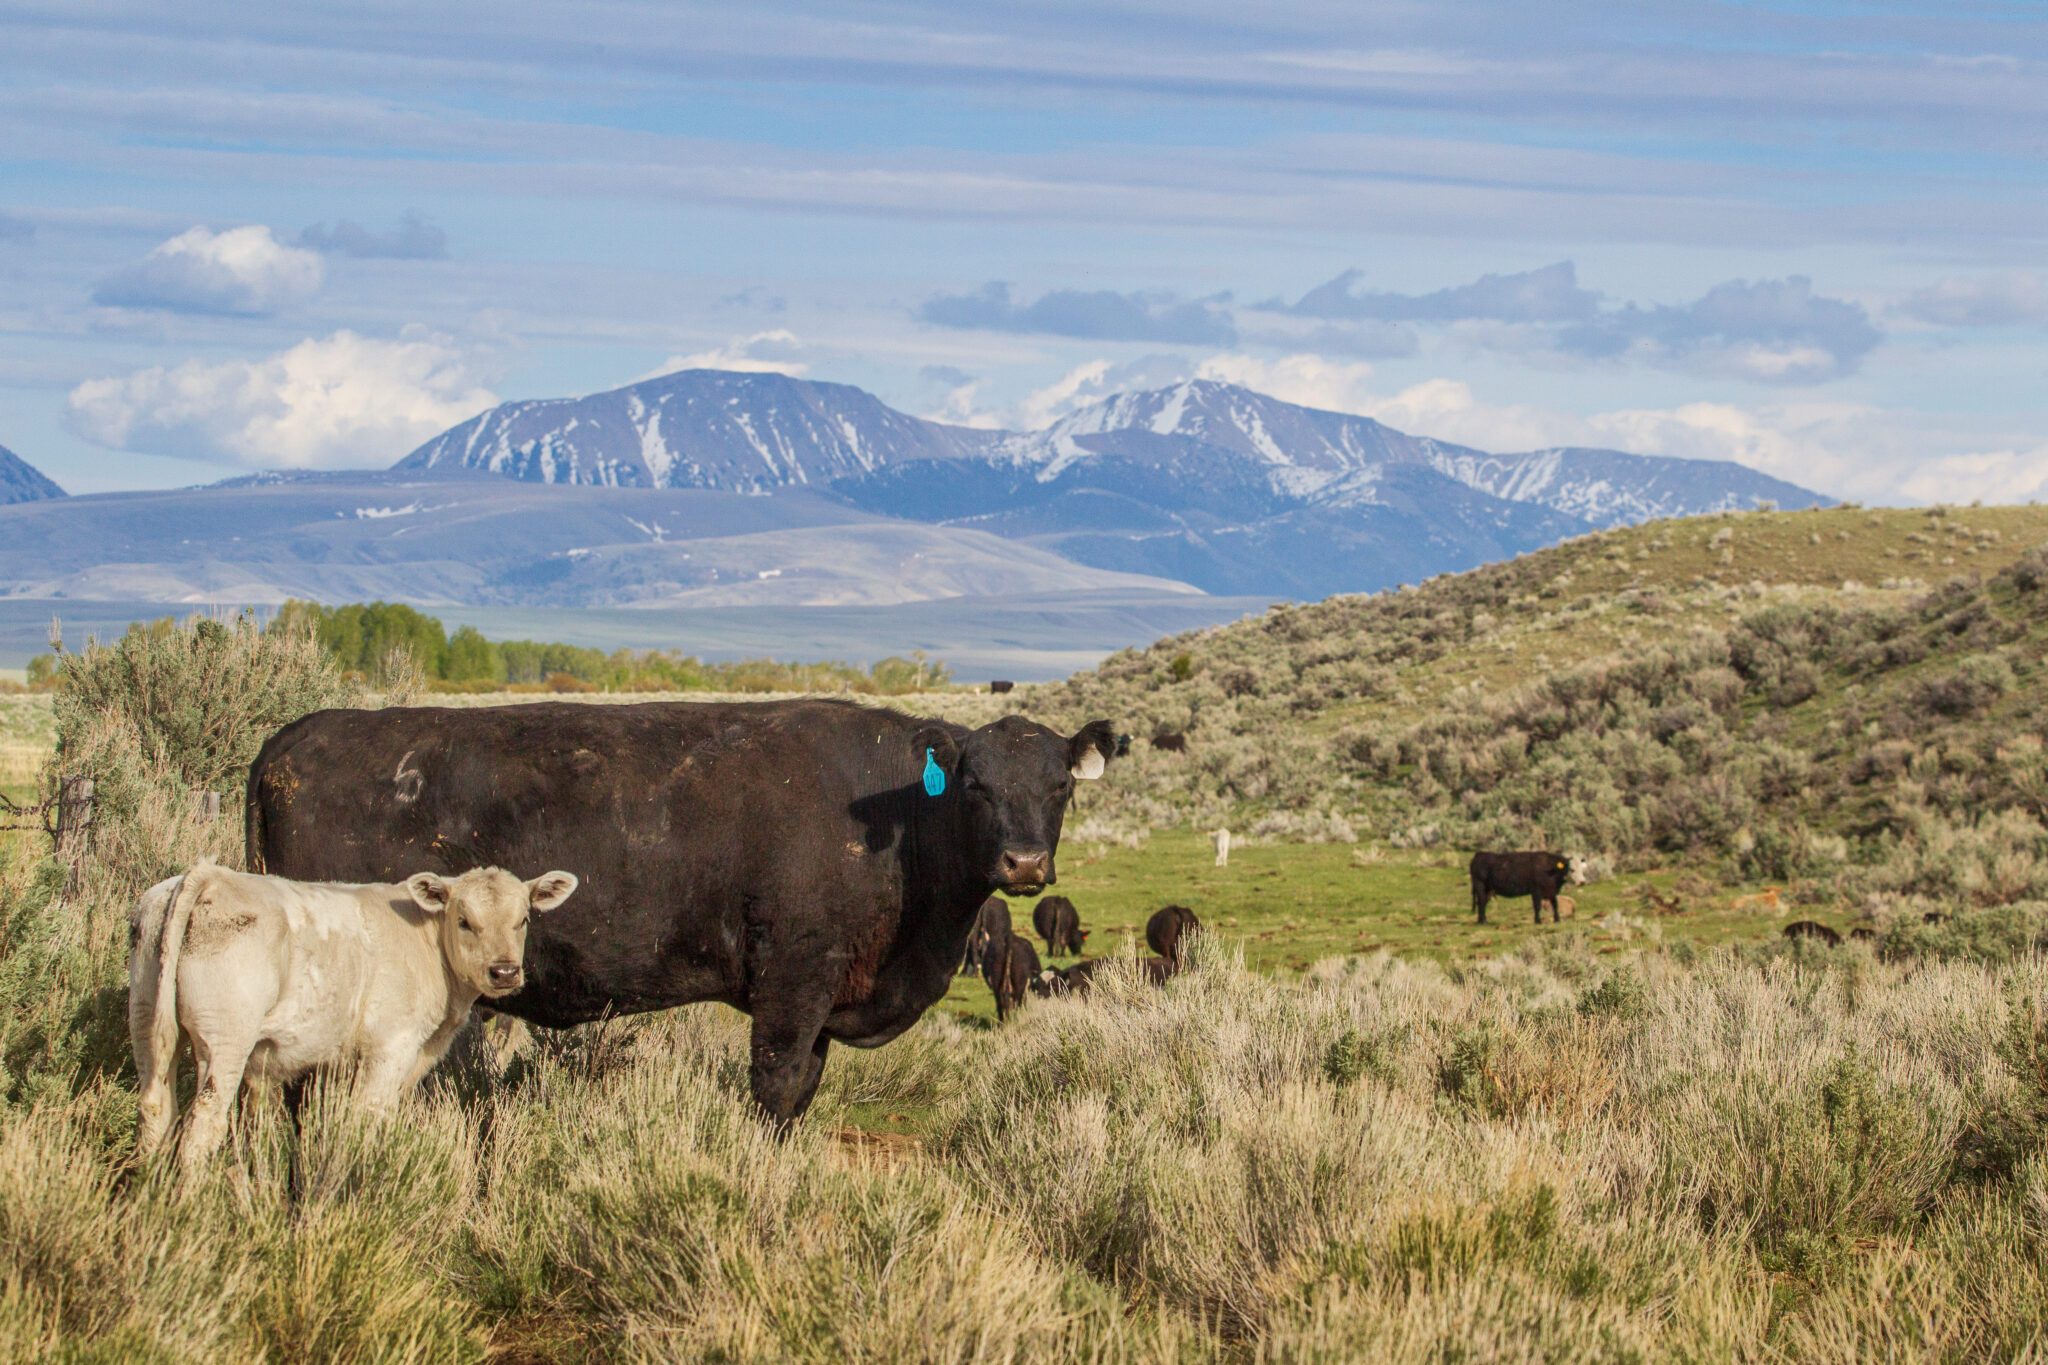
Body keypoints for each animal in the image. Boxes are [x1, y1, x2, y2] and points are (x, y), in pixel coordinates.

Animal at [128, 863, 577, 1178]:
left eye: (523, 920)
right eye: (464, 921)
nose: (504, 972)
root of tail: (210, 874)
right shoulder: (390, 1048)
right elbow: (369, 1118)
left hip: (147, 1018)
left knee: (155, 1107)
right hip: (226, 1040)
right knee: (203, 1123)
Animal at [251, 699, 1138, 1129]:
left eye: (1060, 783)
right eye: (977, 784)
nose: (1024, 861)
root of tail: (291, 739)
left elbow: (800, 1094)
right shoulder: (792, 982)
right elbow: (774, 1088)